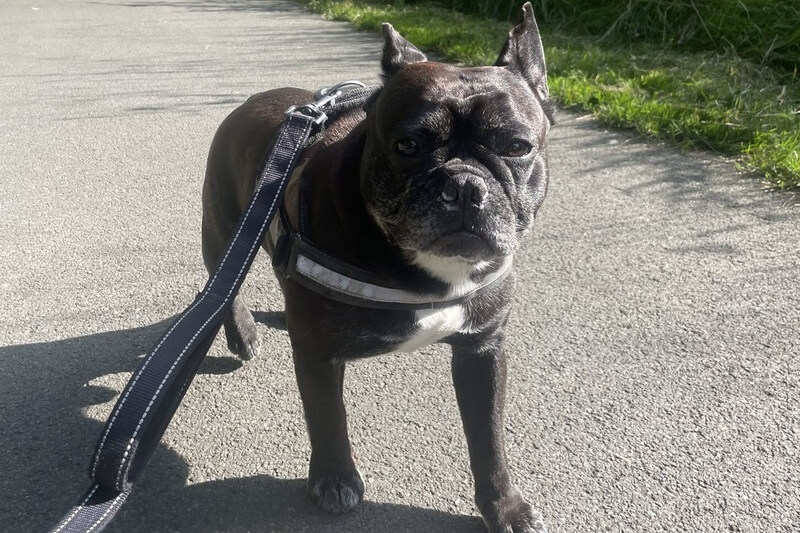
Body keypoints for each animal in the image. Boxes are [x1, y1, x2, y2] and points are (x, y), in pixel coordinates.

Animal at [198, 3, 556, 528]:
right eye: (408, 146)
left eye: (517, 146)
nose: (464, 186)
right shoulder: (319, 357)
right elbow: (327, 418)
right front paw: (335, 480)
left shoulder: (483, 351)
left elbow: (489, 439)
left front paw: (504, 507)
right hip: (225, 230)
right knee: (221, 284)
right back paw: (241, 331)